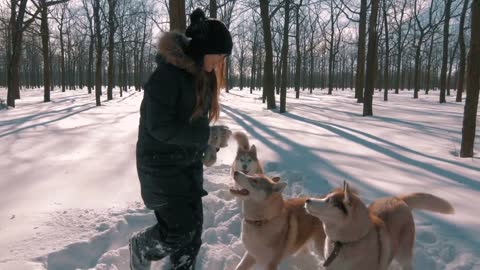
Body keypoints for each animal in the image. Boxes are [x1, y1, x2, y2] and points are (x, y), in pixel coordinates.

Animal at [304, 181, 454, 270]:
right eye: (325, 197)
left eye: (329, 201)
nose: (307, 200)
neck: (344, 243)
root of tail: (398, 199)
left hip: (404, 254)